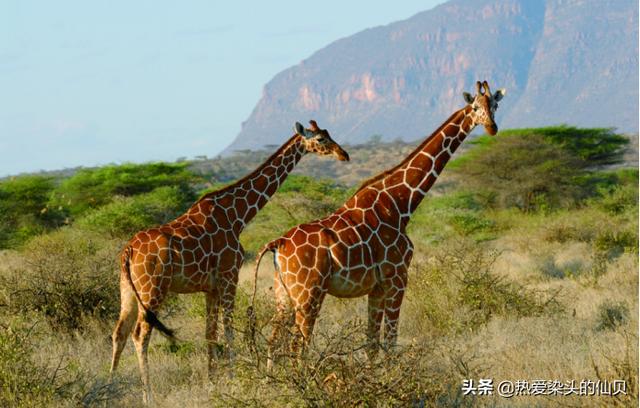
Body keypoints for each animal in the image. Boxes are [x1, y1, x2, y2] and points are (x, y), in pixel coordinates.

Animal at [250, 79, 504, 366]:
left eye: (494, 106)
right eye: (475, 107)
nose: (492, 127)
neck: (401, 203)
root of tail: (277, 243)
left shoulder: (376, 286)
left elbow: (371, 344)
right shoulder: (398, 277)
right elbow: (390, 342)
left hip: (284, 295)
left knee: (273, 343)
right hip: (308, 293)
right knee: (298, 347)